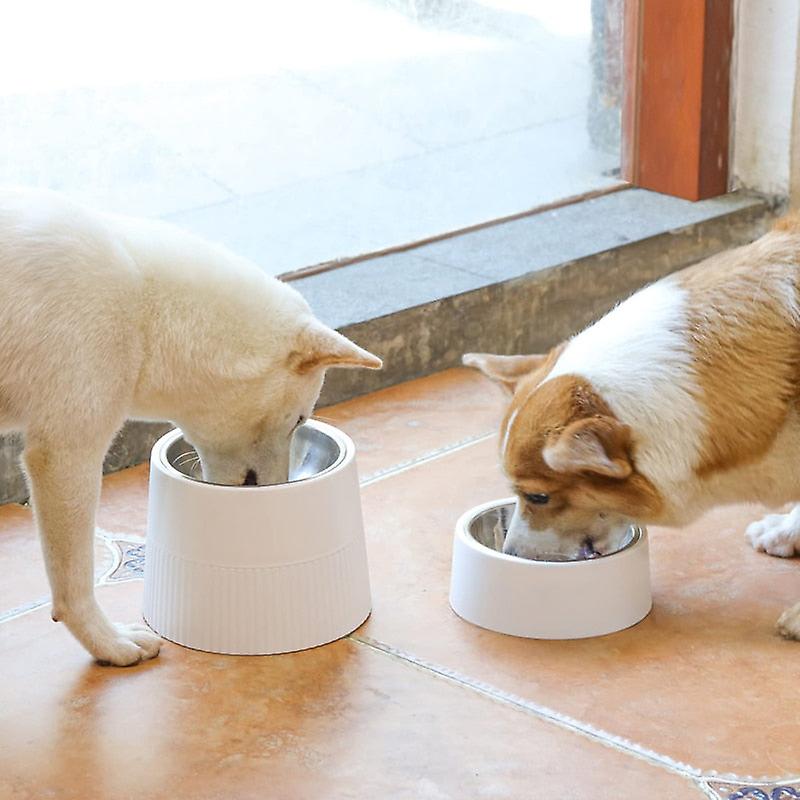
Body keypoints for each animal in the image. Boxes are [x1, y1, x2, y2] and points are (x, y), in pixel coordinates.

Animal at [0, 188, 382, 664]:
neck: (144, 307)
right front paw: (108, 642)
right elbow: (74, 582)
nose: (278, 487)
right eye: (298, 419)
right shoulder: (65, 454)